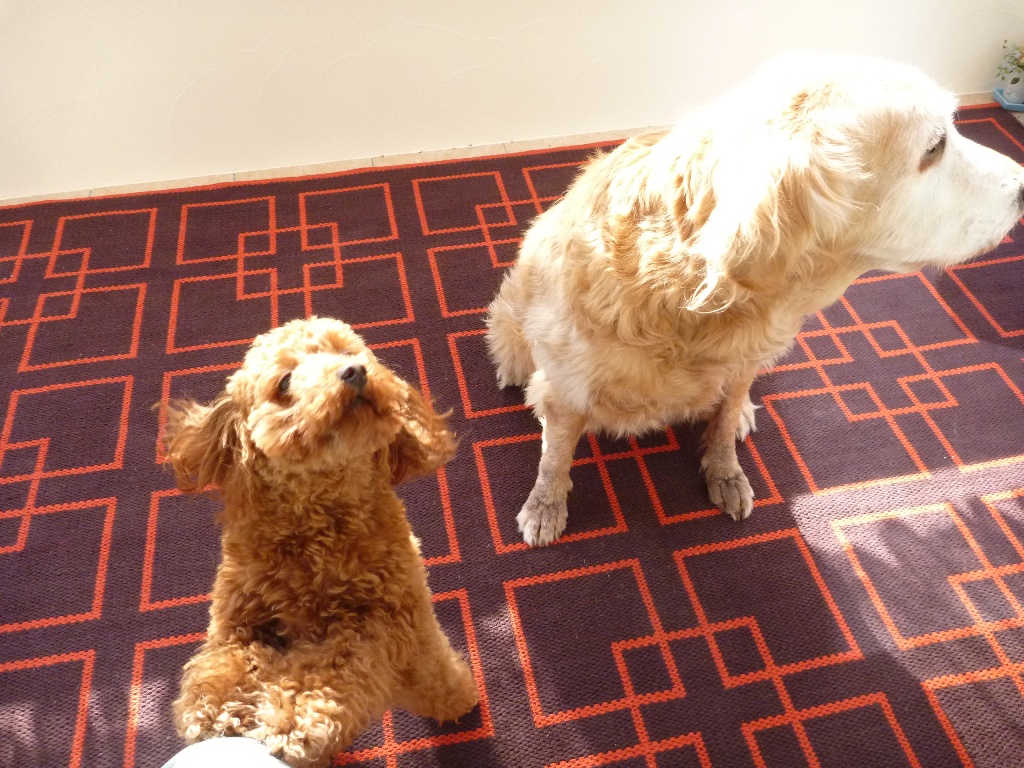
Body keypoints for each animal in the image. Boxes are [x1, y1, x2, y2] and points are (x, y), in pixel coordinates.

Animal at [163, 316, 479, 767]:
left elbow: (330, 672)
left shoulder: (380, 620)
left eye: (348, 353)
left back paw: (457, 699)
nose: (355, 372)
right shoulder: (240, 617)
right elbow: (226, 660)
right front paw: (214, 708)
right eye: (285, 382)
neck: (316, 529)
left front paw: (294, 718)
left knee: (434, 677)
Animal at [486, 53, 1024, 546]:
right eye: (935, 146)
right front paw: (545, 504)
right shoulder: (567, 389)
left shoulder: (743, 361)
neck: (689, 299)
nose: (1023, 186)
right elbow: (555, 456)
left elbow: (724, 422)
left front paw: (725, 470)